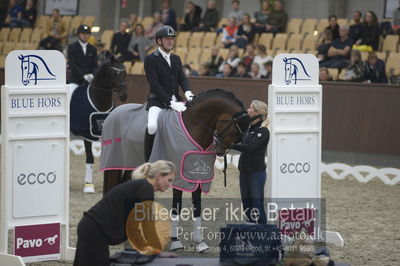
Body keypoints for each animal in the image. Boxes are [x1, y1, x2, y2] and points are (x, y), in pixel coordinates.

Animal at [69, 56, 127, 193]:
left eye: (124, 73)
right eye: (114, 73)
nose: (124, 96)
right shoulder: (87, 133)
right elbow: (90, 157)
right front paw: (89, 185)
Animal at [100, 89, 252, 251]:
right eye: (235, 129)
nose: (220, 151)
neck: (193, 126)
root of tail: (115, 111)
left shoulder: (196, 177)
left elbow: (197, 207)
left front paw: (199, 242)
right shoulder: (179, 178)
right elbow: (176, 207)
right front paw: (175, 241)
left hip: (133, 164)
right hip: (114, 163)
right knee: (111, 188)